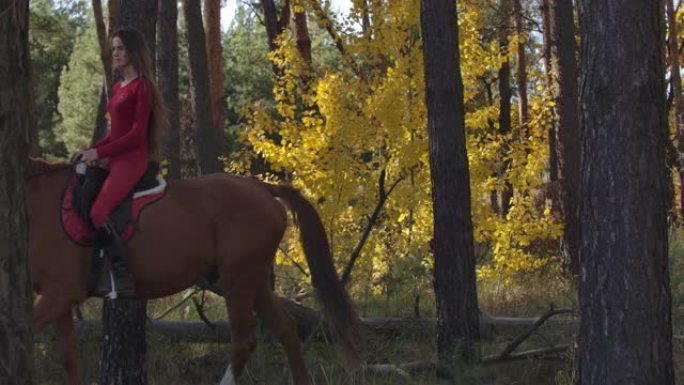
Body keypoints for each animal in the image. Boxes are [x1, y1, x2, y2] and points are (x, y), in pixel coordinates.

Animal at [25, 157, 364, 384]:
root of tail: (262, 188)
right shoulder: (59, 300)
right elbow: (69, 360)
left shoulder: (63, 292)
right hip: (254, 280)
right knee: (286, 329)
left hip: (237, 280)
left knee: (244, 339)